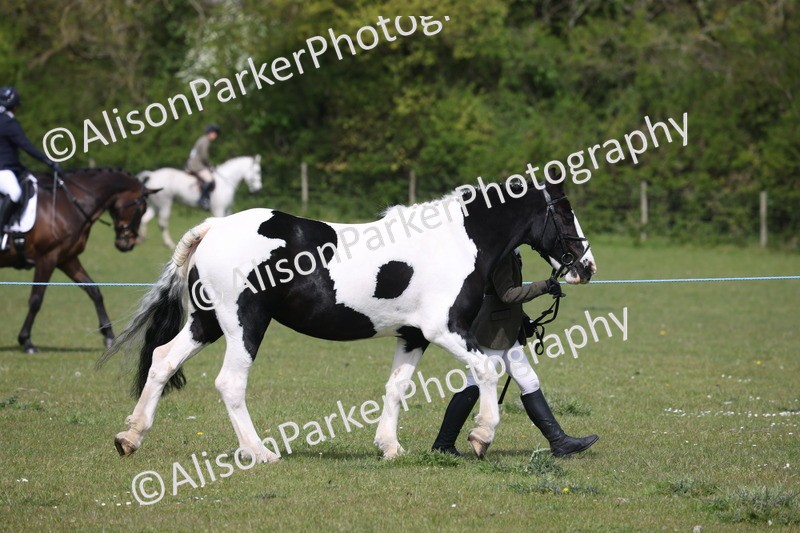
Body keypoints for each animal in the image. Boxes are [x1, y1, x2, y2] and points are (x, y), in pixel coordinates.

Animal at [0, 169, 155, 353]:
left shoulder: (67, 258)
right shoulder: (47, 258)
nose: (127, 244)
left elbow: (94, 291)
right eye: (141, 209)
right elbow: (36, 300)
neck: (67, 204)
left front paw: (109, 336)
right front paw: (27, 341)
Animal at [100, 173, 596, 463]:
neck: (457, 241)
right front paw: (481, 436)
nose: (586, 267)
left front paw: (389, 446)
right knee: (229, 383)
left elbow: (396, 387)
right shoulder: (444, 330)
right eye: (564, 210)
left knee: (163, 360)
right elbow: (487, 371)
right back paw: (259, 452)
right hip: (244, 324)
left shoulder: (413, 336)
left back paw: (130, 437)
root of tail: (214, 228)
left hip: (207, 323)